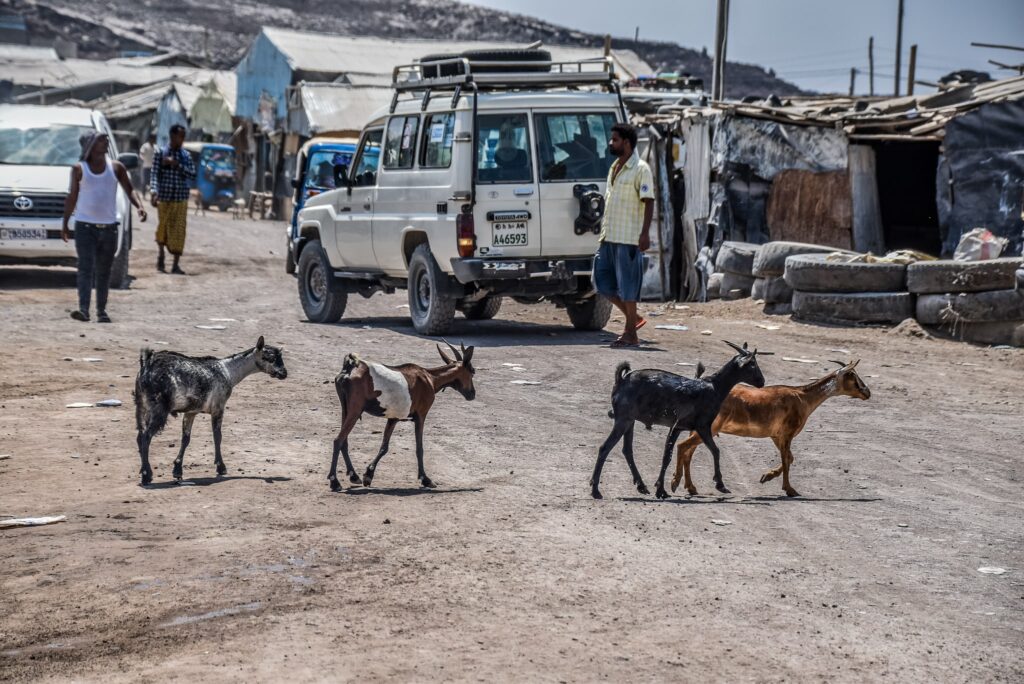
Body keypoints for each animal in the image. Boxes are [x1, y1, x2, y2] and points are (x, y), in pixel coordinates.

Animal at [135, 333, 288, 483]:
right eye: (269, 357)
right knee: (146, 436)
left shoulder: (191, 412)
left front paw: (177, 470)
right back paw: (147, 474)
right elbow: (217, 436)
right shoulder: (218, 408)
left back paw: (144, 470)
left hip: (141, 405)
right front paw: (221, 467)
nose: (284, 373)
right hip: (158, 408)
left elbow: (186, 439)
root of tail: (148, 365)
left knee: (140, 436)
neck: (228, 371)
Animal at [325, 339, 477, 489]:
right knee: (338, 440)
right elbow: (419, 448)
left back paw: (353, 475)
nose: (472, 394)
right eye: (472, 371)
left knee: (344, 441)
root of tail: (349, 369)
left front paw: (368, 474)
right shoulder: (421, 415)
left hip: (346, 409)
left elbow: (384, 447)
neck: (430, 378)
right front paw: (425, 479)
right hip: (355, 410)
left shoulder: (393, 418)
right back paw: (334, 481)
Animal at [589, 339, 765, 497]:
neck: (715, 387)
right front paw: (720, 484)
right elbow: (715, 451)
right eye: (753, 364)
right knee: (605, 448)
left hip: (629, 420)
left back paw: (641, 486)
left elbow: (667, 455)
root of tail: (621, 380)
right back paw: (595, 490)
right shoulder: (702, 426)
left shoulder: (679, 427)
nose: (762, 381)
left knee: (627, 450)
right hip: (623, 419)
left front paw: (661, 488)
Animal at [671, 358, 872, 497]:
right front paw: (790, 489)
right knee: (683, 446)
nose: (867, 392)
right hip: (709, 428)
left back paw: (691, 487)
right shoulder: (787, 433)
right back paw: (675, 483)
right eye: (852, 375)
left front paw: (766, 477)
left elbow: (789, 458)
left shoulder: (776, 435)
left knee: (688, 452)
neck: (802, 397)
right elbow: (786, 459)